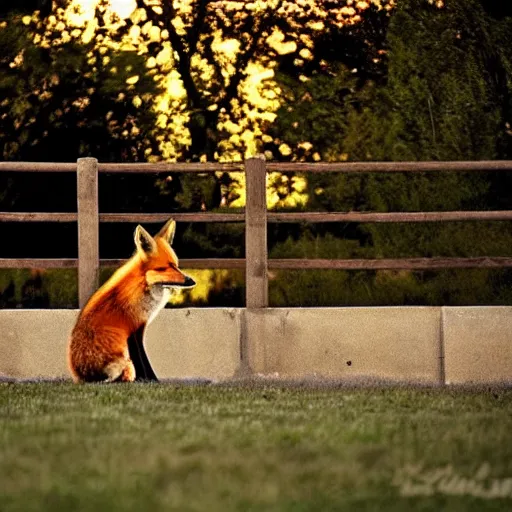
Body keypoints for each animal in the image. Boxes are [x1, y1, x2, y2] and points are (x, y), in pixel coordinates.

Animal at [67, 218, 195, 382]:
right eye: (164, 268)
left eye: (176, 266)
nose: (191, 280)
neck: (142, 286)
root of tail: (81, 377)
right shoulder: (132, 328)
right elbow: (142, 360)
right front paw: (150, 381)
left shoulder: (139, 326)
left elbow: (142, 360)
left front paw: (146, 380)